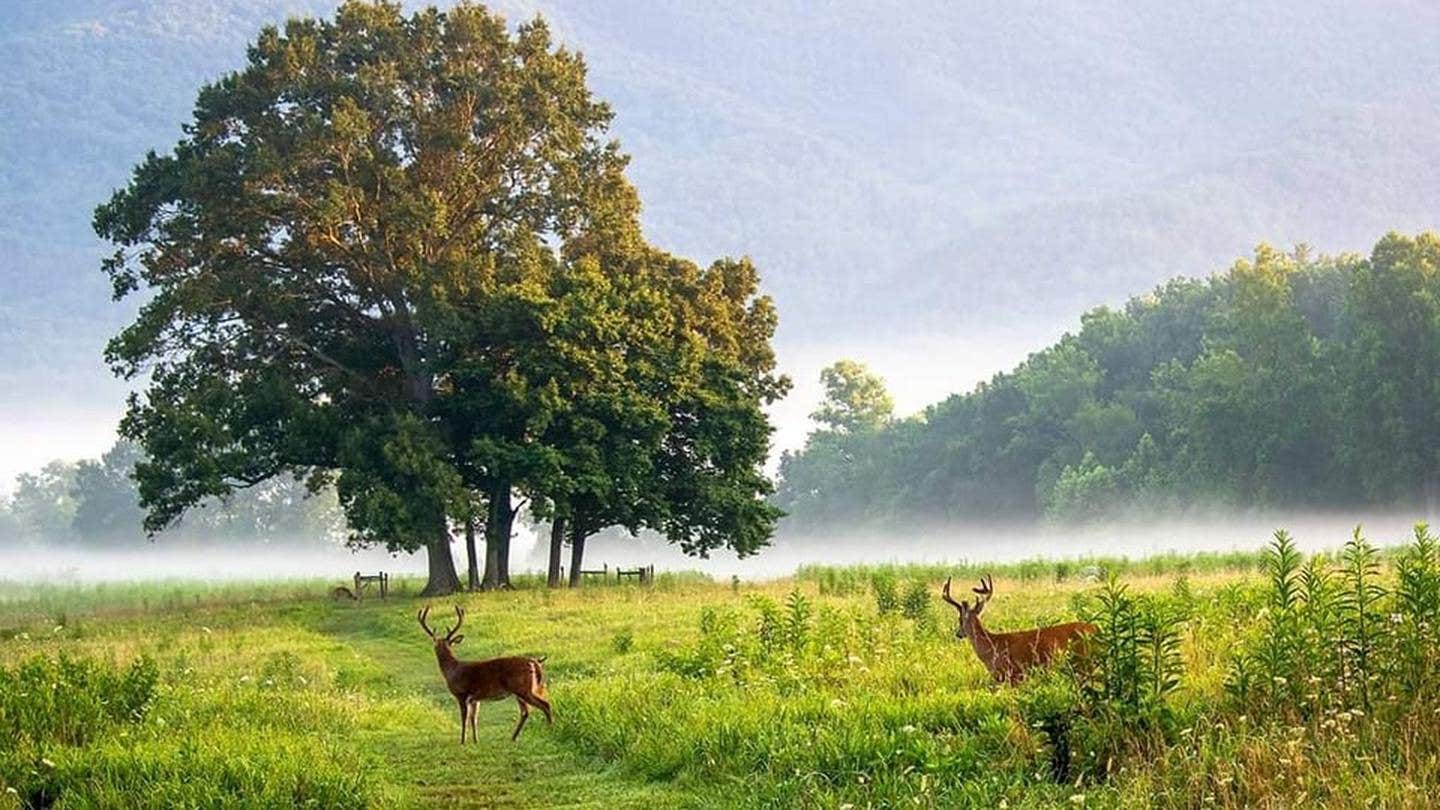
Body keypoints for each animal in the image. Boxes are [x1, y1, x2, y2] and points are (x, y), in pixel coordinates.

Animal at [420, 605, 552, 737]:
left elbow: (464, 720)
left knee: (544, 705)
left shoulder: (462, 694)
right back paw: (514, 737)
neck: (451, 669)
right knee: (526, 712)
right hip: (522, 690)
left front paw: (463, 740)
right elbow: (474, 719)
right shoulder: (474, 699)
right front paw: (475, 739)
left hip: (522, 688)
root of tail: (533, 662)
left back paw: (549, 728)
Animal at [938, 573, 1094, 680]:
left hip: (1083, 662)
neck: (992, 646)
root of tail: (1095, 628)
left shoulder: (1013, 674)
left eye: (959, 619)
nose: (958, 633)